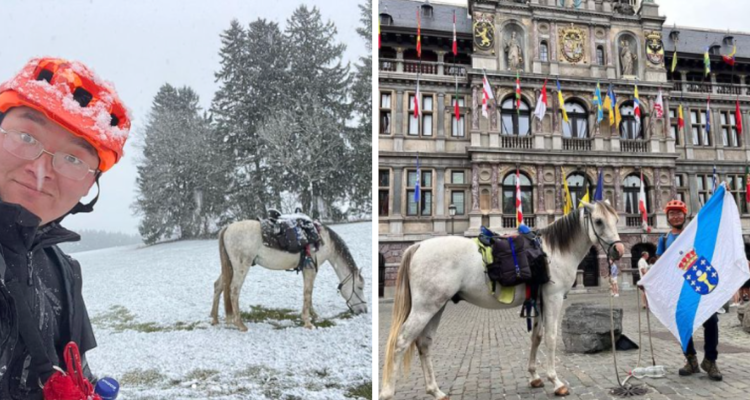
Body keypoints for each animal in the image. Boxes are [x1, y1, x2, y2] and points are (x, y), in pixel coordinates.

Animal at [210, 220, 367, 331]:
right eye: (360, 287)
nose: (364, 311)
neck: (323, 241)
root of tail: (228, 228)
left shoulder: (307, 270)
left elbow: (309, 294)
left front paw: (315, 316)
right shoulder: (310, 269)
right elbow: (308, 293)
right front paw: (308, 322)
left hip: (230, 267)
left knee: (218, 286)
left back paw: (214, 319)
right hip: (241, 266)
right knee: (234, 290)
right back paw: (240, 325)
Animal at [380, 201, 625, 399]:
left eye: (616, 220)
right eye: (599, 221)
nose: (619, 250)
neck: (553, 252)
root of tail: (418, 245)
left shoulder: (539, 300)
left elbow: (536, 337)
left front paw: (534, 376)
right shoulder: (553, 297)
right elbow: (551, 338)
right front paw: (555, 381)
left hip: (436, 306)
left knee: (424, 343)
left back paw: (436, 391)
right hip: (425, 307)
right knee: (401, 342)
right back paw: (388, 392)